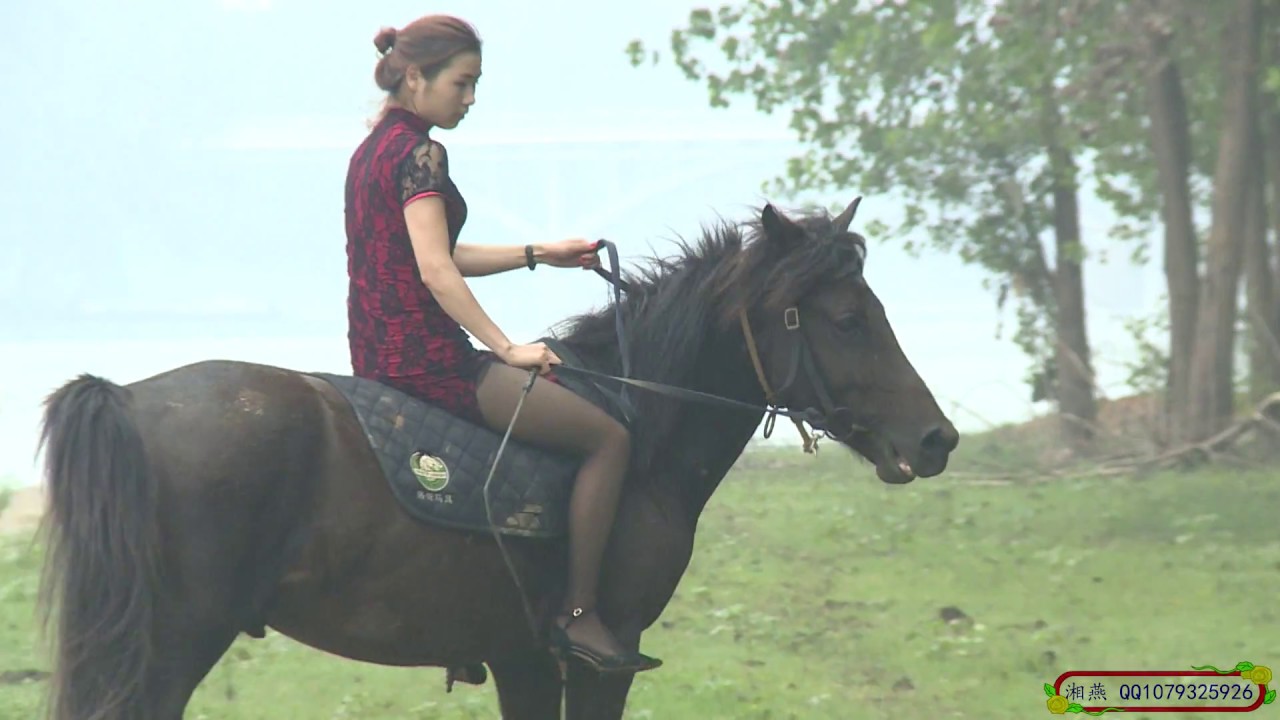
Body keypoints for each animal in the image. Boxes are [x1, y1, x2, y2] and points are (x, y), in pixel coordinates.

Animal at [34, 197, 959, 719]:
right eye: (848, 318)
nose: (936, 439)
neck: (640, 419)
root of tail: (127, 398)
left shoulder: (522, 659)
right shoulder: (599, 660)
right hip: (171, 644)